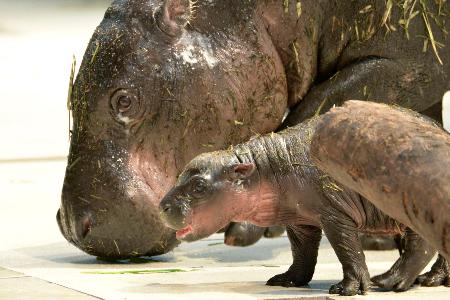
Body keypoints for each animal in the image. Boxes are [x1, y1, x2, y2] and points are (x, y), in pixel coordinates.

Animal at [58, 0, 448, 258]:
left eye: (123, 100)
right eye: (72, 93)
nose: (73, 226)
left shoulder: (408, 64)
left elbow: (311, 115)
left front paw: (246, 226)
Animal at [159, 116, 436, 296]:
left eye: (198, 186)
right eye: (180, 174)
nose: (162, 205)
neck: (264, 169)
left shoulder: (334, 215)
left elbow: (348, 250)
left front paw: (348, 289)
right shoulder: (300, 221)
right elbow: (302, 253)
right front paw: (285, 280)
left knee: (420, 247)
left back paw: (389, 282)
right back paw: (431, 280)